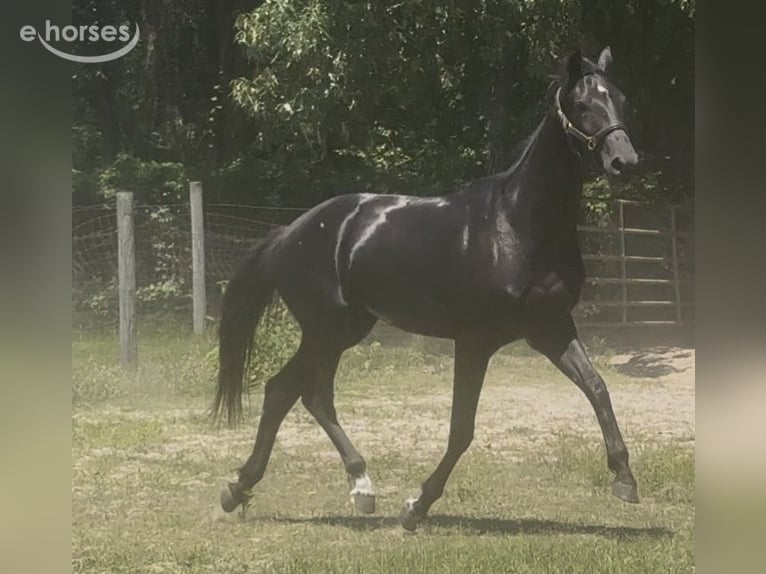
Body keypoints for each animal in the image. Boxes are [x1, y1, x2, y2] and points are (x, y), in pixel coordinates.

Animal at [212, 46, 640, 531]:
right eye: (583, 105)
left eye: (622, 100)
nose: (625, 161)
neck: (515, 226)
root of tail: (289, 232)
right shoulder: (475, 341)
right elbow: (461, 428)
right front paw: (416, 506)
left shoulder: (550, 329)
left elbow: (597, 387)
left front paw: (625, 479)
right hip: (324, 329)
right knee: (283, 391)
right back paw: (244, 487)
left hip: (344, 331)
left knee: (306, 395)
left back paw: (355, 486)